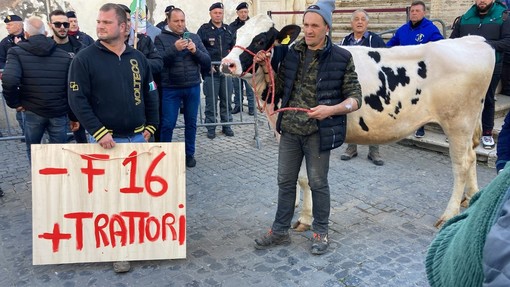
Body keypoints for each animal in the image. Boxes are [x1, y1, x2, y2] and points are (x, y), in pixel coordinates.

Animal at [222, 14, 494, 230]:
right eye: (236, 35)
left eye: (260, 40)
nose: (227, 64)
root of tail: (473, 40)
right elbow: (299, 176)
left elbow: (306, 177)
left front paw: (306, 219)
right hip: (468, 122)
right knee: (471, 157)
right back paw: (472, 199)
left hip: (457, 121)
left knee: (461, 163)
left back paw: (449, 214)